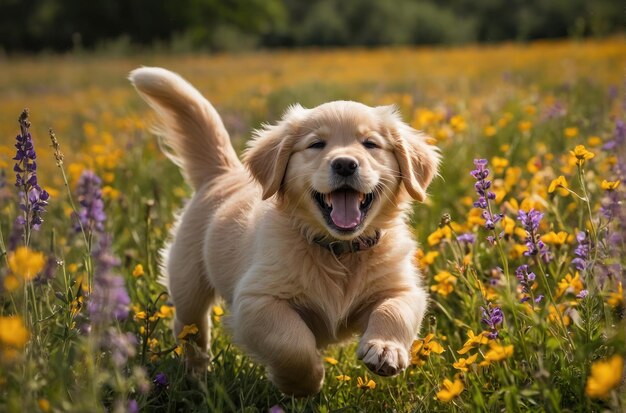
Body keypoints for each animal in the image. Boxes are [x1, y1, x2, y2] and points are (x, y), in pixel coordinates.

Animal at [129, 67, 438, 396]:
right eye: (316, 145)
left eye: (370, 144)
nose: (344, 164)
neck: (338, 251)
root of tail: (223, 173)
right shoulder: (256, 301)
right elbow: (292, 343)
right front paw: (304, 382)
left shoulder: (401, 287)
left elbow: (394, 310)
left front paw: (385, 349)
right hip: (188, 280)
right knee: (190, 329)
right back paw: (197, 377)